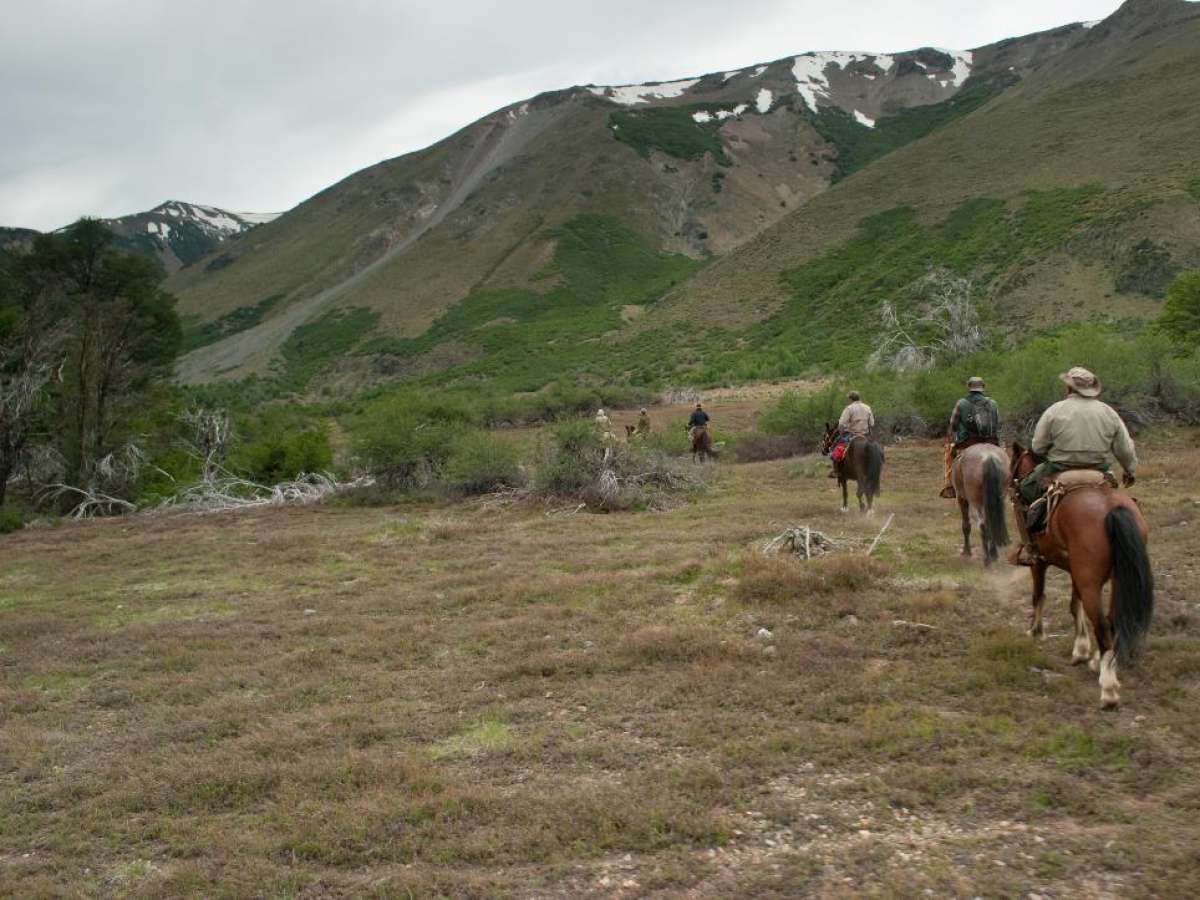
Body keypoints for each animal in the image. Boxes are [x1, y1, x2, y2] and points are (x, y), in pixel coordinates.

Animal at [1012, 444, 1152, 710]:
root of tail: (1111, 508)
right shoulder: (1076, 570)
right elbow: (1074, 604)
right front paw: (1082, 649)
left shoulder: (1040, 563)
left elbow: (1039, 595)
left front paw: (1035, 631)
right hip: (1116, 579)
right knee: (1111, 620)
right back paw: (1102, 664)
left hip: (1090, 581)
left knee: (1103, 625)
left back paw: (1108, 690)